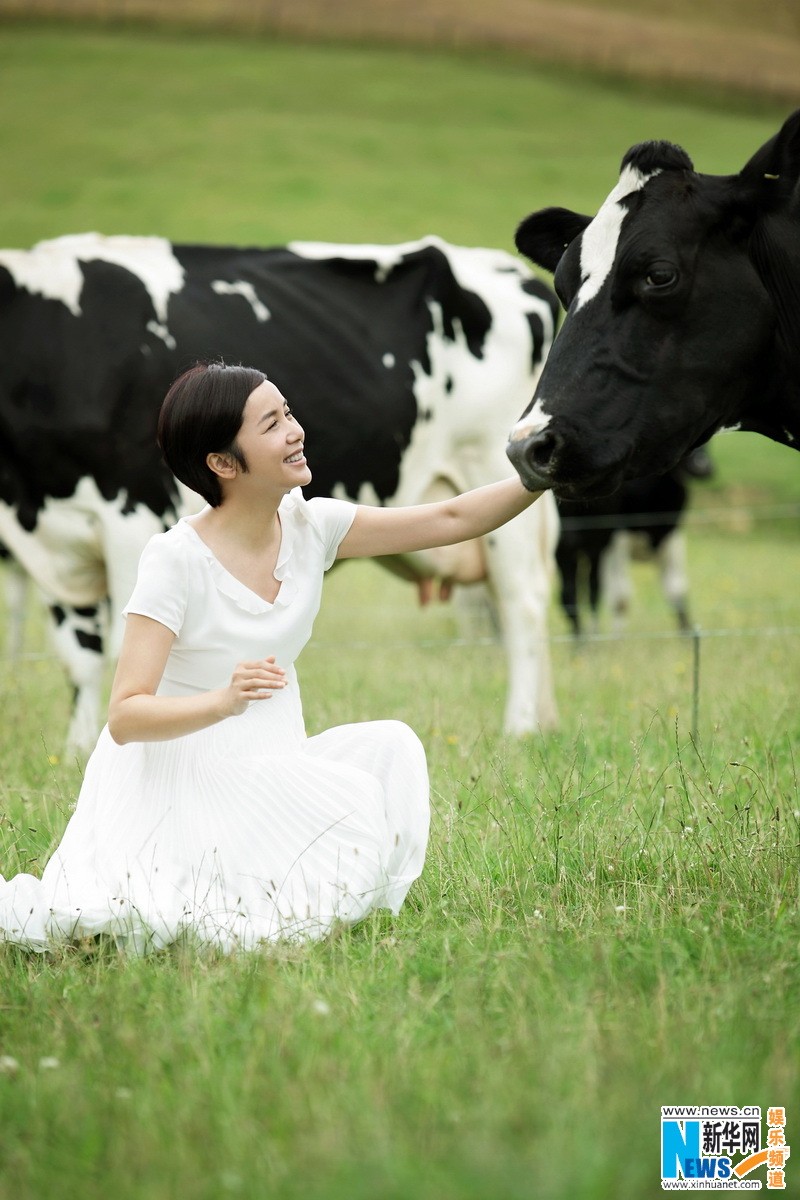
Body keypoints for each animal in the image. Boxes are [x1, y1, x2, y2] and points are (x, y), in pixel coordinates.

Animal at [0, 229, 561, 744]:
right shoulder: (53, 535)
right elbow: (80, 657)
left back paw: (518, 729)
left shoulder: (132, 512)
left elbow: (123, 649)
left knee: (523, 606)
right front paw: (78, 749)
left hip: (485, 463)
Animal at [556, 448, 714, 638]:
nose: (703, 467)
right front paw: (618, 639)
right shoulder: (617, 541)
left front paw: (686, 634)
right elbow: (620, 598)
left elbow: (676, 588)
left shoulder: (672, 535)